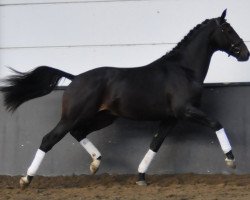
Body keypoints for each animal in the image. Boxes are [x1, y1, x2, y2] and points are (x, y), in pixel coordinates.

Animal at [0, 9, 249, 188]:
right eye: (228, 29)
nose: (245, 53)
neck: (183, 69)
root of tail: (75, 78)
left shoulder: (170, 119)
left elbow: (155, 143)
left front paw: (140, 177)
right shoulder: (185, 111)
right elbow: (216, 123)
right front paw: (231, 160)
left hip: (103, 117)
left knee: (78, 133)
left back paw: (95, 163)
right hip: (73, 116)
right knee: (48, 139)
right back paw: (26, 180)